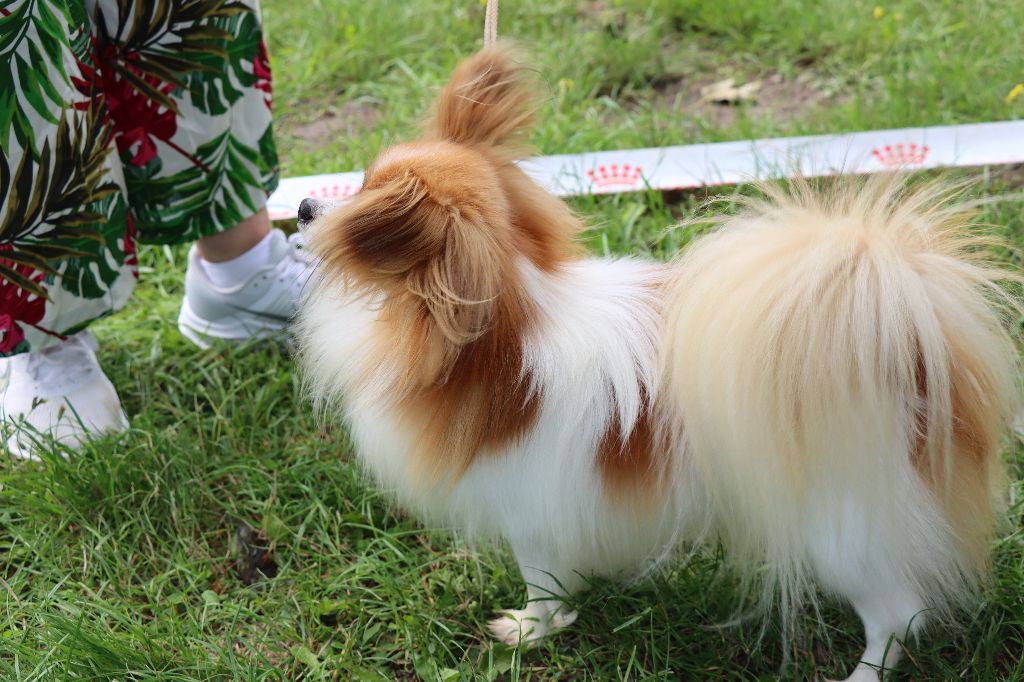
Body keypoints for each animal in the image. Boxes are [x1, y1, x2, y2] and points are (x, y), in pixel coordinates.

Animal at [292, 45, 1019, 675]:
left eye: (360, 201)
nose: (301, 203)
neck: (503, 330)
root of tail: (909, 347)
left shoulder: (533, 516)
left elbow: (543, 586)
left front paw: (529, 633)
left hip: (843, 532)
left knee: (898, 616)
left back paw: (862, 674)